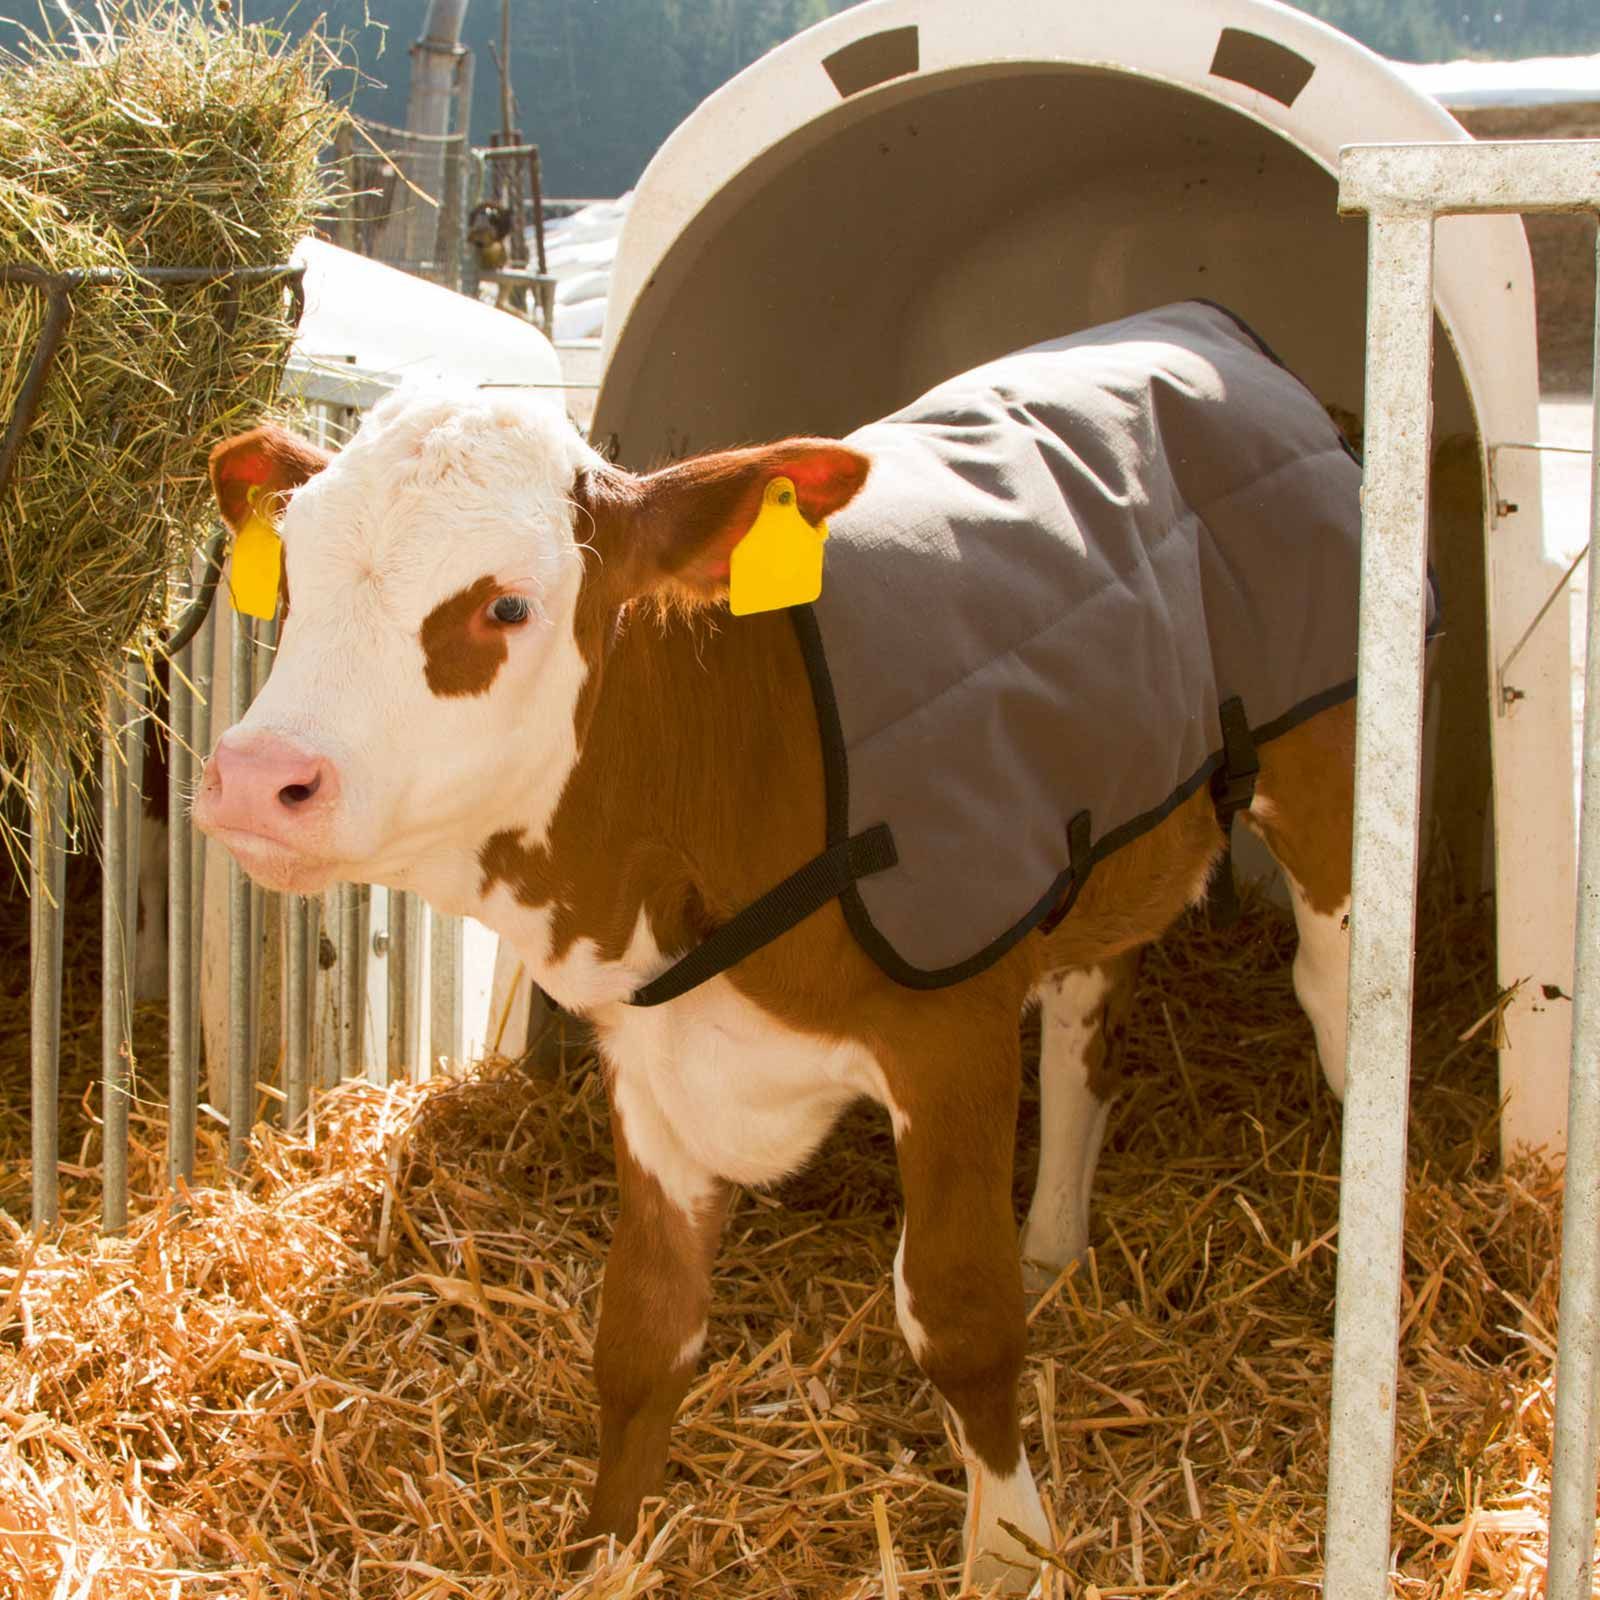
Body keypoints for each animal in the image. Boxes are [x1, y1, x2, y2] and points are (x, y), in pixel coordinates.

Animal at [193, 313, 1359, 1590]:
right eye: (294, 579)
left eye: (506, 608)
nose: (256, 776)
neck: (730, 754)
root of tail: (1205, 326)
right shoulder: (652, 1054)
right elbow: (643, 1328)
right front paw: (607, 1550)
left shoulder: (949, 1033)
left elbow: (958, 1316)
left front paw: (1008, 1549)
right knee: (1085, 1023)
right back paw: (1053, 1245)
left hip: (1323, 770)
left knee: (1334, 999)